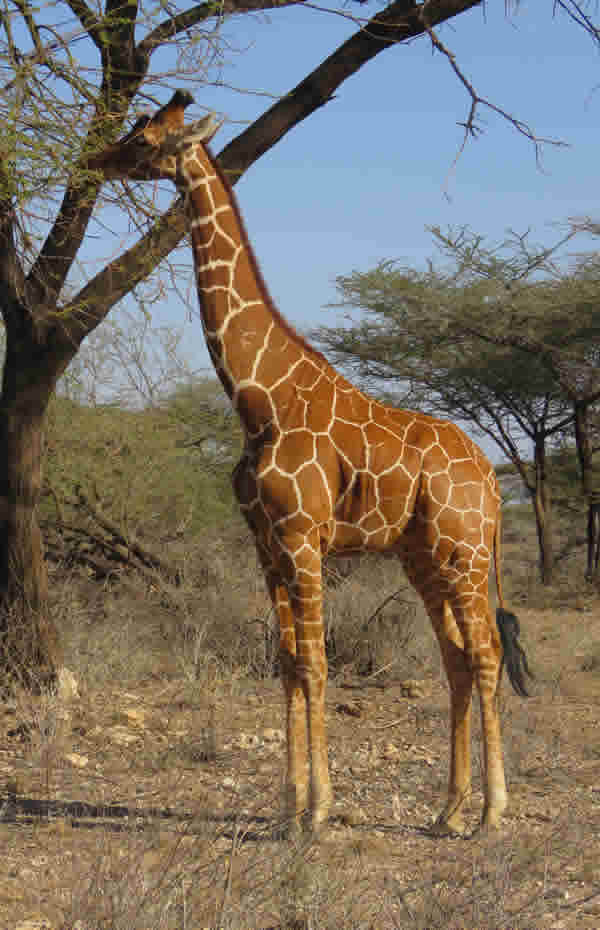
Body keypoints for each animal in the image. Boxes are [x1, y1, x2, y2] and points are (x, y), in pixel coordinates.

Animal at [94, 91, 532, 836]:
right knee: (453, 658)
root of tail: (493, 482)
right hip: (422, 557)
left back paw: (491, 812)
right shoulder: (266, 544)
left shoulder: (303, 537)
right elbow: (289, 663)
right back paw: (447, 810)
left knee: (484, 653)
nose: (97, 160)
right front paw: (287, 808)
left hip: (466, 551)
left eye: (147, 138)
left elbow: (320, 664)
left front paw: (320, 810)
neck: (257, 395)